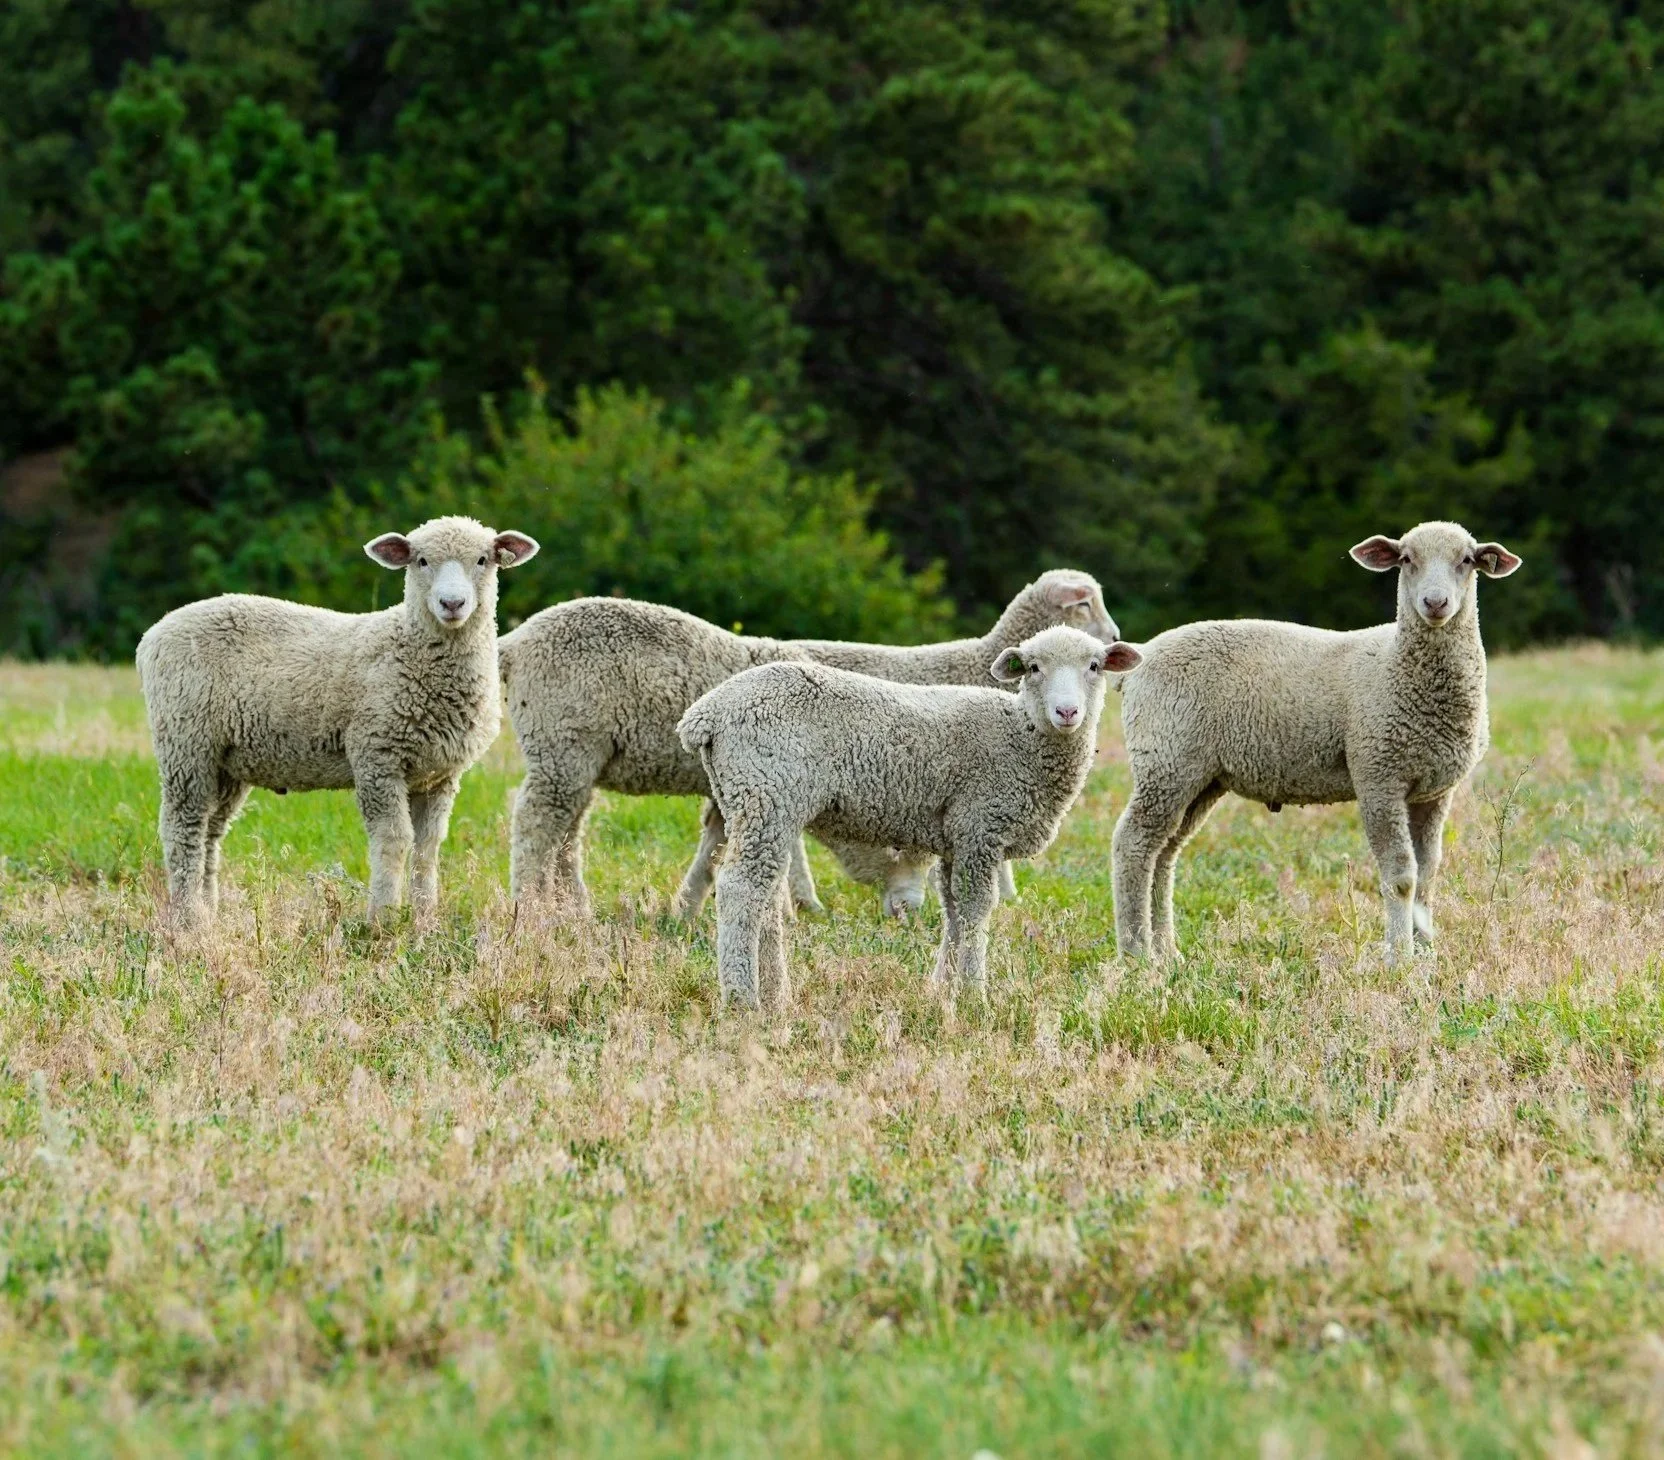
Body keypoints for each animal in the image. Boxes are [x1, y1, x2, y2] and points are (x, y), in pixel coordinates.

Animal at [136, 516, 540, 928]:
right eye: (421, 561)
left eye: (483, 559)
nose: (452, 604)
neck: (410, 650)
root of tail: (154, 634)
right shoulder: (377, 757)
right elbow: (393, 840)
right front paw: (383, 919)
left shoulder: (439, 774)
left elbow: (427, 847)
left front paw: (425, 918)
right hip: (186, 741)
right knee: (183, 830)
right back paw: (188, 917)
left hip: (226, 761)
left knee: (210, 832)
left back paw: (208, 912)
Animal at [499, 570, 1119, 919]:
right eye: (1084, 604)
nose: (1117, 639)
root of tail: (516, 640)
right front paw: (802, 906)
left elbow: (719, 843)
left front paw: (688, 907)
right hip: (563, 745)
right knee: (536, 822)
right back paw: (530, 907)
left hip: (579, 756)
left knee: (568, 831)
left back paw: (571, 905)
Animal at [677, 625, 1143, 1009]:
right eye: (1033, 668)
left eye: (1094, 666)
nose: (1067, 713)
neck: (1020, 736)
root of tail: (706, 714)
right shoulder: (979, 826)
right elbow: (976, 908)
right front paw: (974, 997)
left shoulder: (956, 838)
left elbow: (954, 910)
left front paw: (942, 989)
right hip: (767, 791)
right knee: (741, 888)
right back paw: (742, 1001)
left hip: (753, 801)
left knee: (767, 894)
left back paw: (776, 995)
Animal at [1111, 520, 1521, 966]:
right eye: (1407, 559)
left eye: (1466, 560)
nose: (1435, 602)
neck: (1399, 666)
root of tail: (1141, 658)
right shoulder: (1378, 776)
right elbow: (1400, 877)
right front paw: (1399, 958)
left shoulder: (1433, 791)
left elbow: (1427, 875)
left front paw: (1427, 954)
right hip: (1166, 757)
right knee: (1133, 844)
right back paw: (1137, 953)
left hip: (1198, 775)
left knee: (1164, 852)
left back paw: (1167, 953)